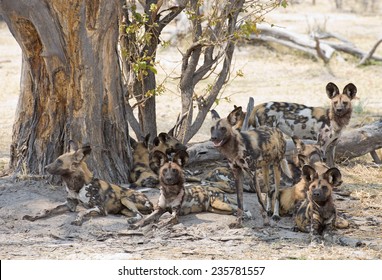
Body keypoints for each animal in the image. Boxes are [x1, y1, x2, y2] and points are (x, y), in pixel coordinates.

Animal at [22, 142, 153, 225]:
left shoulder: (100, 208)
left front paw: (77, 220)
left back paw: (132, 221)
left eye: (59, 161)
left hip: (125, 199)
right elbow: (47, 209)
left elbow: (83, 211)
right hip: (124, 210)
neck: (77, 186)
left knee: (140, 215)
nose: (45, 167)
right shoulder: (70, 204)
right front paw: (33, 217)